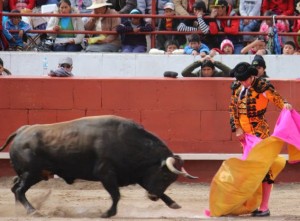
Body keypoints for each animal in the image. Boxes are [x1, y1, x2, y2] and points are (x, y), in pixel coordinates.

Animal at [0, 115, 197, 218]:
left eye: (172, 179)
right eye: (165, 176)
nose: (153, 197)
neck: (129, 142)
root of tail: (22, 130)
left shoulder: (136, 174)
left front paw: (173, 204)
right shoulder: (106, 174)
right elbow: (116, 195)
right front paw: (107, 213)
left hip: (33, 174)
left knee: (15, 188)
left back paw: (19, 210)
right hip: (31, 173)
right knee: (19, 190)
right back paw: (32, 211)